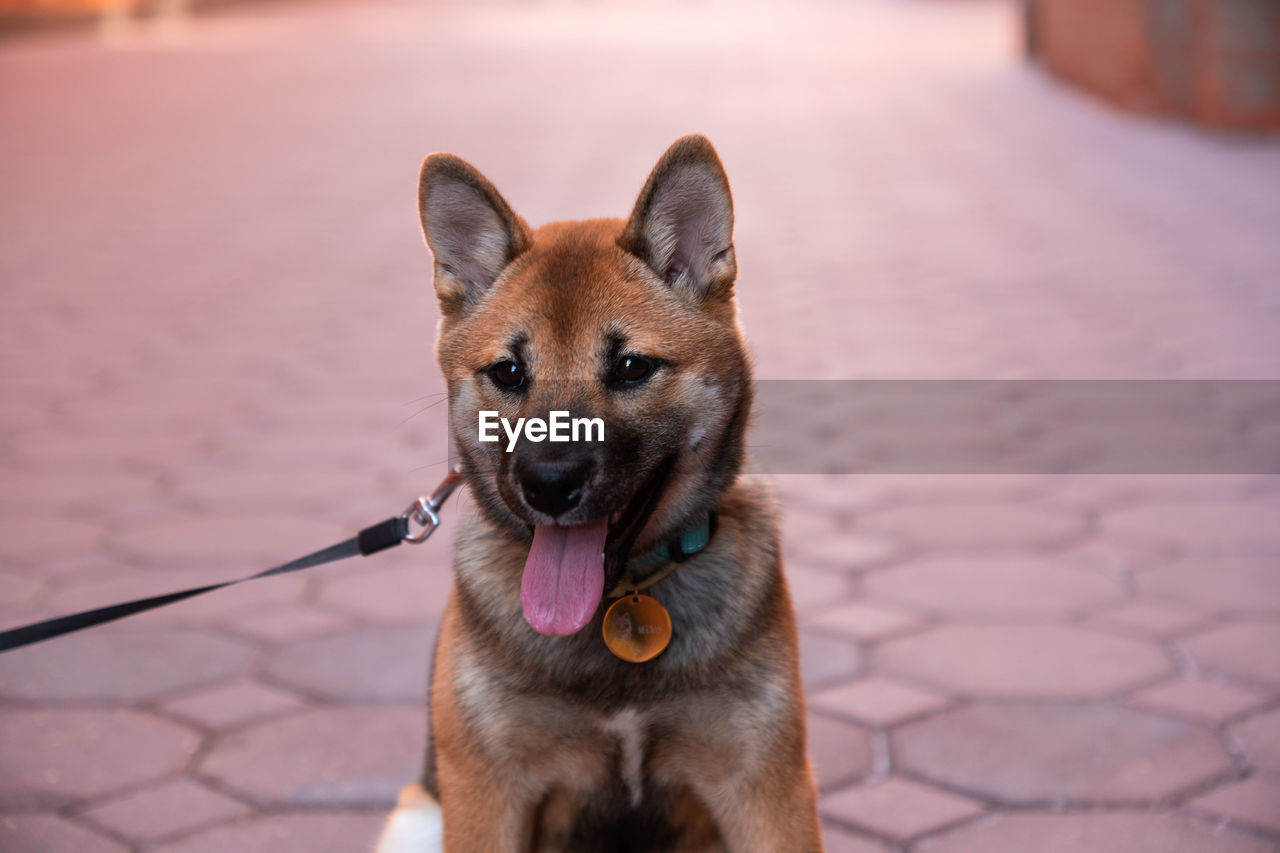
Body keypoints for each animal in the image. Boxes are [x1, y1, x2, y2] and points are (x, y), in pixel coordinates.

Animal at [373, 134, 824, 850]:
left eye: (632, 367)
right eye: (508, 372)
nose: (548, 484)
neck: (622, 603)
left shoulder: (767, 792)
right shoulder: (486, 797)